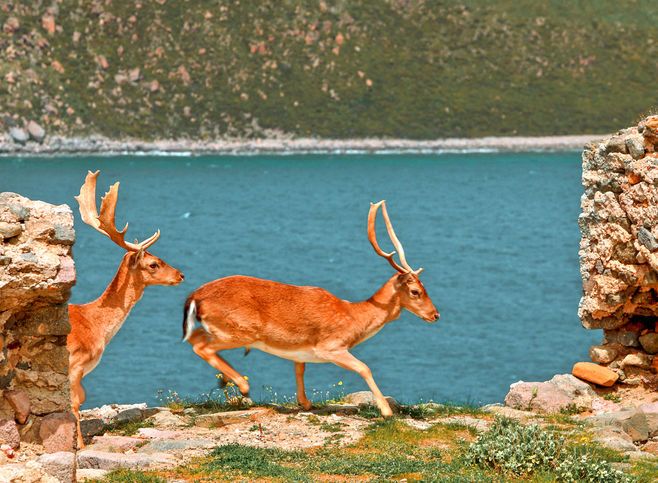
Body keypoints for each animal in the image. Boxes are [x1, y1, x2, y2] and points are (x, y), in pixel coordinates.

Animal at [66, 172, 183, 448]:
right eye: (153, 264)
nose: (180, 275)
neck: (95, 326)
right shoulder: (74, 364)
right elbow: (75, 405)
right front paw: (80, 445)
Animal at [182, 202, 438, 418]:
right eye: (415, 291)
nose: (435, 315)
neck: (354, 317)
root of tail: (194, 296)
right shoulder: (331, 346)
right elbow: (365, 368)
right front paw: (386, 411)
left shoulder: (300, 351)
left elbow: (300, 370)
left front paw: (304, 403)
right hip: (240, 330)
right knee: (201, 346)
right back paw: (243, 386)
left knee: (195, 339)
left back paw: (226, 381)